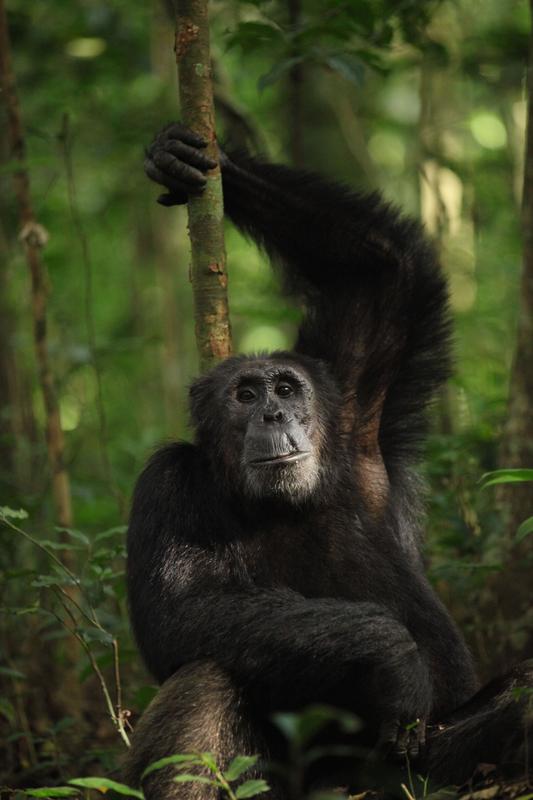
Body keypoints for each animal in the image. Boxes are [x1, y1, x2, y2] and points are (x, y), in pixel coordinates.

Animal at [123, 122, 532, 796]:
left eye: (287, 388)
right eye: (245, 394)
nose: (273, 414)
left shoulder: (353, 400)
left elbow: (381, 270)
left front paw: (198, 158)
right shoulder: (164, 483)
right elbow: (179, 612)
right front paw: (392, 654)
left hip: (431, 767)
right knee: (207, 679)